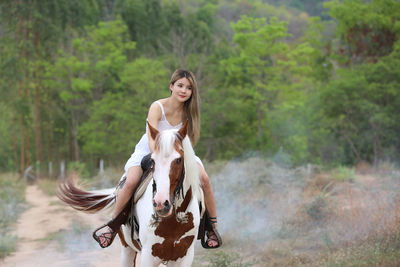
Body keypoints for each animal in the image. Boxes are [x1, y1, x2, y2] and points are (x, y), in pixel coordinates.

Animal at [57, 122, 205, 267]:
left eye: (179, 160)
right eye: (152, 161)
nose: (161, 203)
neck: (173, 221)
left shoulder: (184, 256)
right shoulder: (148, 257)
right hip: (127, 249)